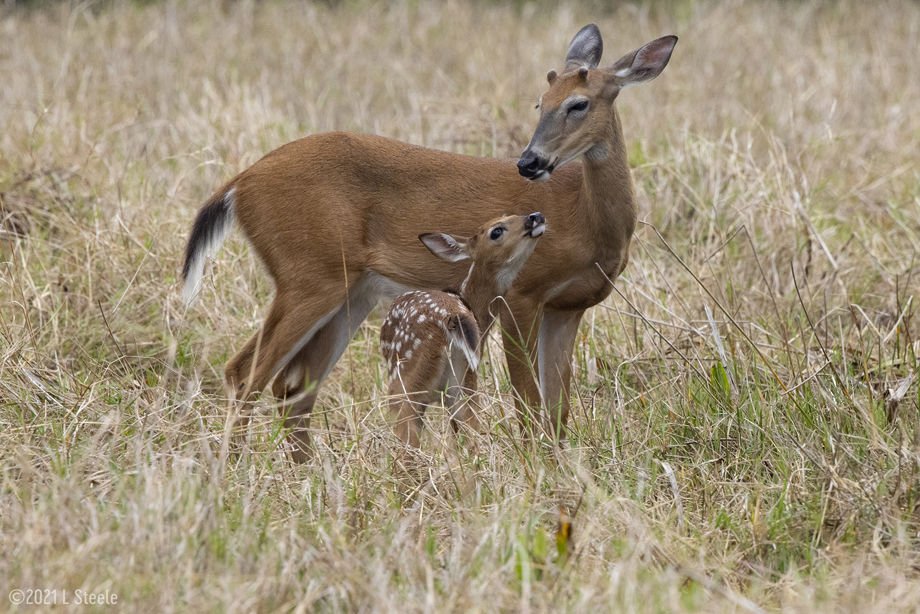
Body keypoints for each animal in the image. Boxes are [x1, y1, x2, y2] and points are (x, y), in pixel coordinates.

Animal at [382, 214, 548, 450]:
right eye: (497, 230)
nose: (535, 216)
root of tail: (451, 317)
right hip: (463, 379)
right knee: (471, 428)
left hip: (405, 372)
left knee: (407, 433)